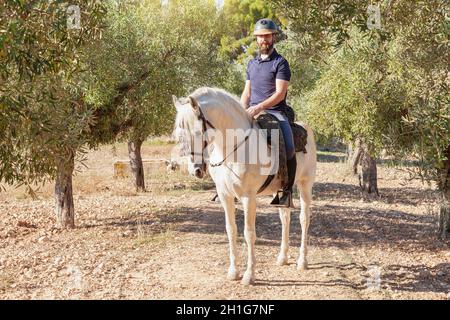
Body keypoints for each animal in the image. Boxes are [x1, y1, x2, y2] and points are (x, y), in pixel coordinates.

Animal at [172, 87, 316, 284]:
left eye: (197, 132)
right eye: (179, 136)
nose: (196, 170)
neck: (234, 149)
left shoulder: (249, 197)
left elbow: (249, 233)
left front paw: (249, 275)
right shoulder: (225, 196)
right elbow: (231, 230)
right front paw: (233, 272)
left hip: (305, 184)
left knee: (304, 218)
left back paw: (302, 261)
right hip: (281, 191)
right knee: (285, 218)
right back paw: (282, 257)